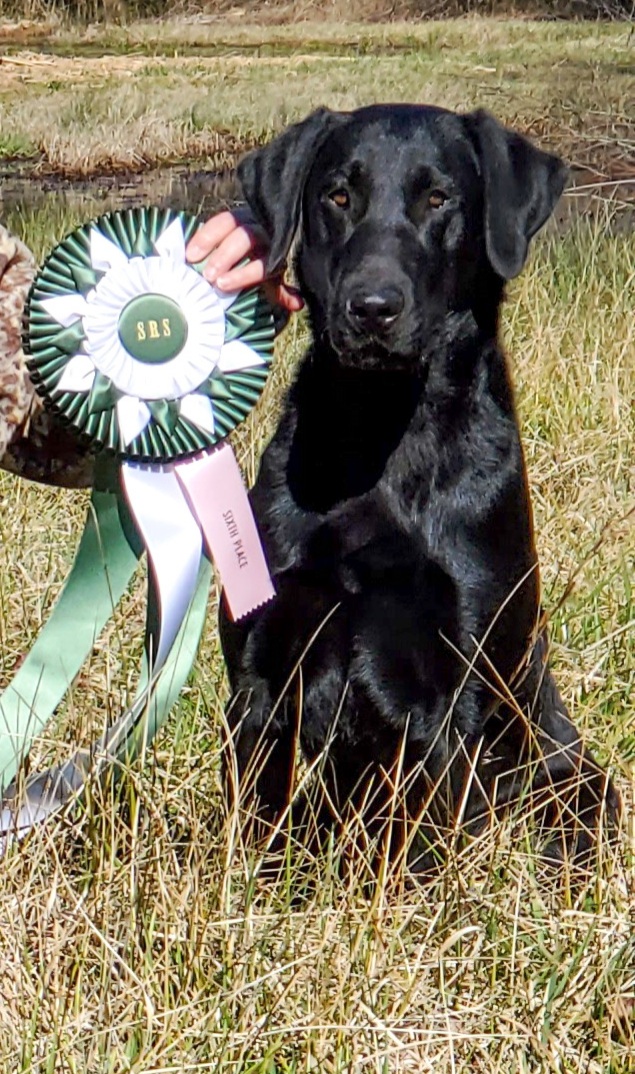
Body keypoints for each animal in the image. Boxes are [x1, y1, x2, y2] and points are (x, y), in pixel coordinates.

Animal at [219, 102, 623, 872]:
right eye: (336, 196)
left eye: (439, 199)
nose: (371, 307)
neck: (379, 433)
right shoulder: (262, 668)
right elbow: (258, 824)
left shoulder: (449, 686)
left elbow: (423, 838)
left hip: (574, 774)